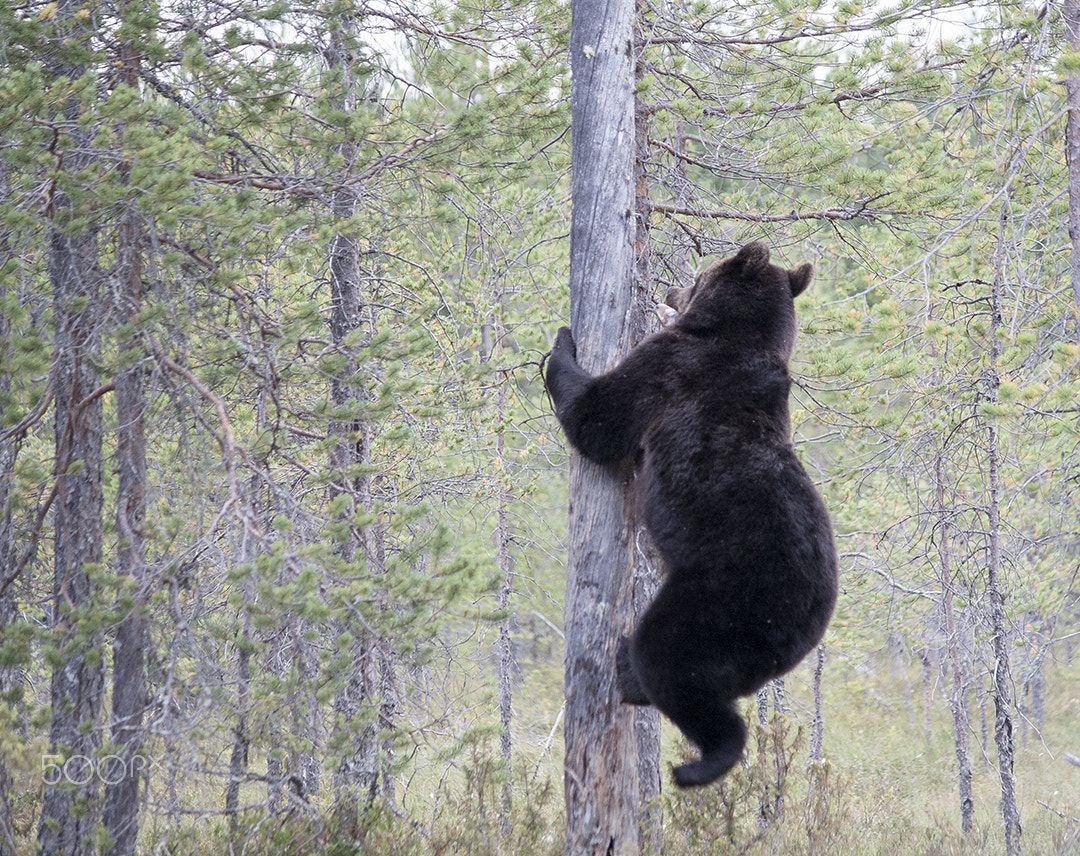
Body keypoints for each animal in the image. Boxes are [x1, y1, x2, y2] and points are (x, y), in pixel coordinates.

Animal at [544, 242, 838, 788]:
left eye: (699, 276)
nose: (669, 288)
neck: (735, 335)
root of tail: (808, 622)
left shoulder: (672, 368)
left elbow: (598, 415)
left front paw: (561, 345)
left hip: (719, 602)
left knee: (672, 664)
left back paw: (694, 760)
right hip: (746, 639)